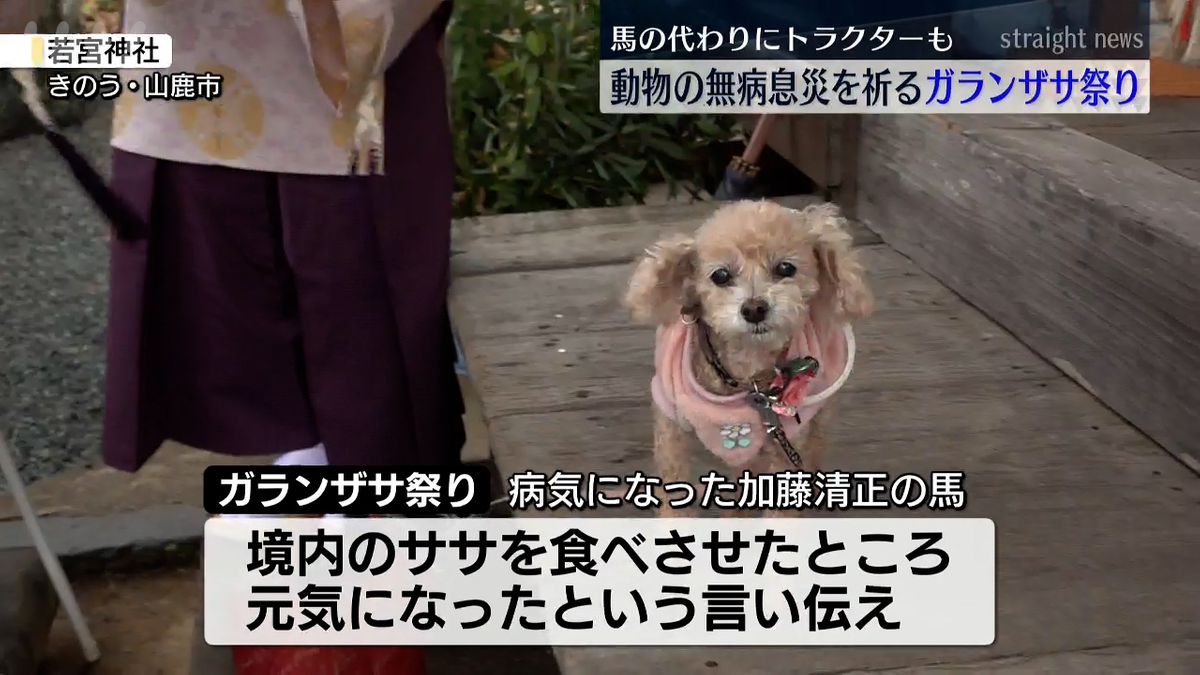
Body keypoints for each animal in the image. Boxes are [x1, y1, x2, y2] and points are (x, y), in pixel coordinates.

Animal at [619, 199, 873, 514]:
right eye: (720, 275)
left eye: (786, 268)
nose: (754, 309)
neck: (745, 374)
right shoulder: (670, 428)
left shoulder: (785, 445)